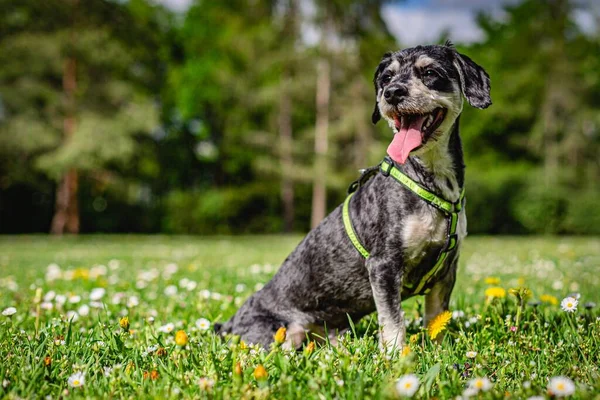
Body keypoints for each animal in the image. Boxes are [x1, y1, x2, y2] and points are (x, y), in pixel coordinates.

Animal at [216, 42, 492, 352]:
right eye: (386, 77)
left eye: (430, 72)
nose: (392, 92)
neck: (430, 183)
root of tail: (229, 325)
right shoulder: (384, 265)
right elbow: (393, 321)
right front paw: (397, 356)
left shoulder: (446, 272)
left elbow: (436, 320)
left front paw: (438, 351)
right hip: (284, 333)